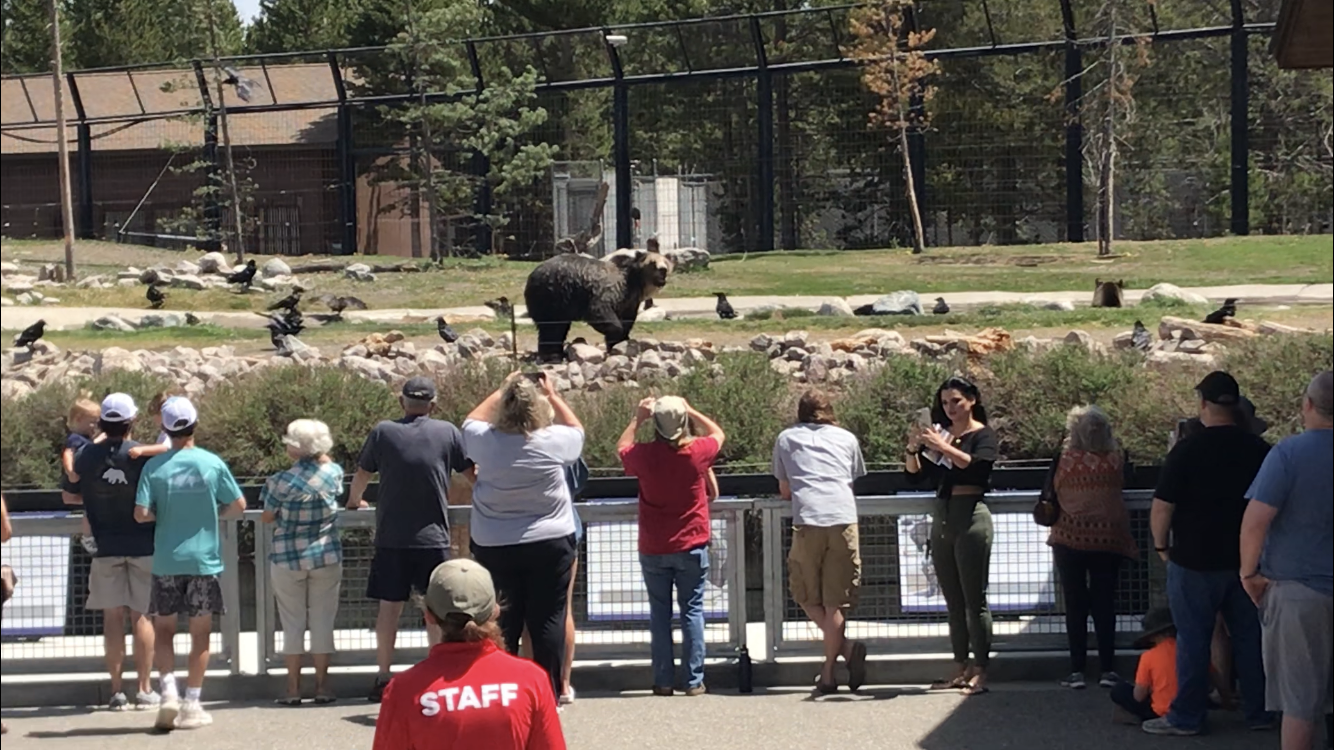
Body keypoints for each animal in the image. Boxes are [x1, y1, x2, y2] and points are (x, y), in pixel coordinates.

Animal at [524, 249, 673, 360]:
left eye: (665, 264)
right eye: (653, 263)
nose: (662, 271)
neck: (634, 283)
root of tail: (532, 275)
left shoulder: (629, 303)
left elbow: (626, 322)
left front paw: (620, 343)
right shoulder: (606, 291)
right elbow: (600, 312)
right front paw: (616, 336)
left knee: (557, 328)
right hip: (552, 294)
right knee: (551, 328)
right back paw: (552, 354)